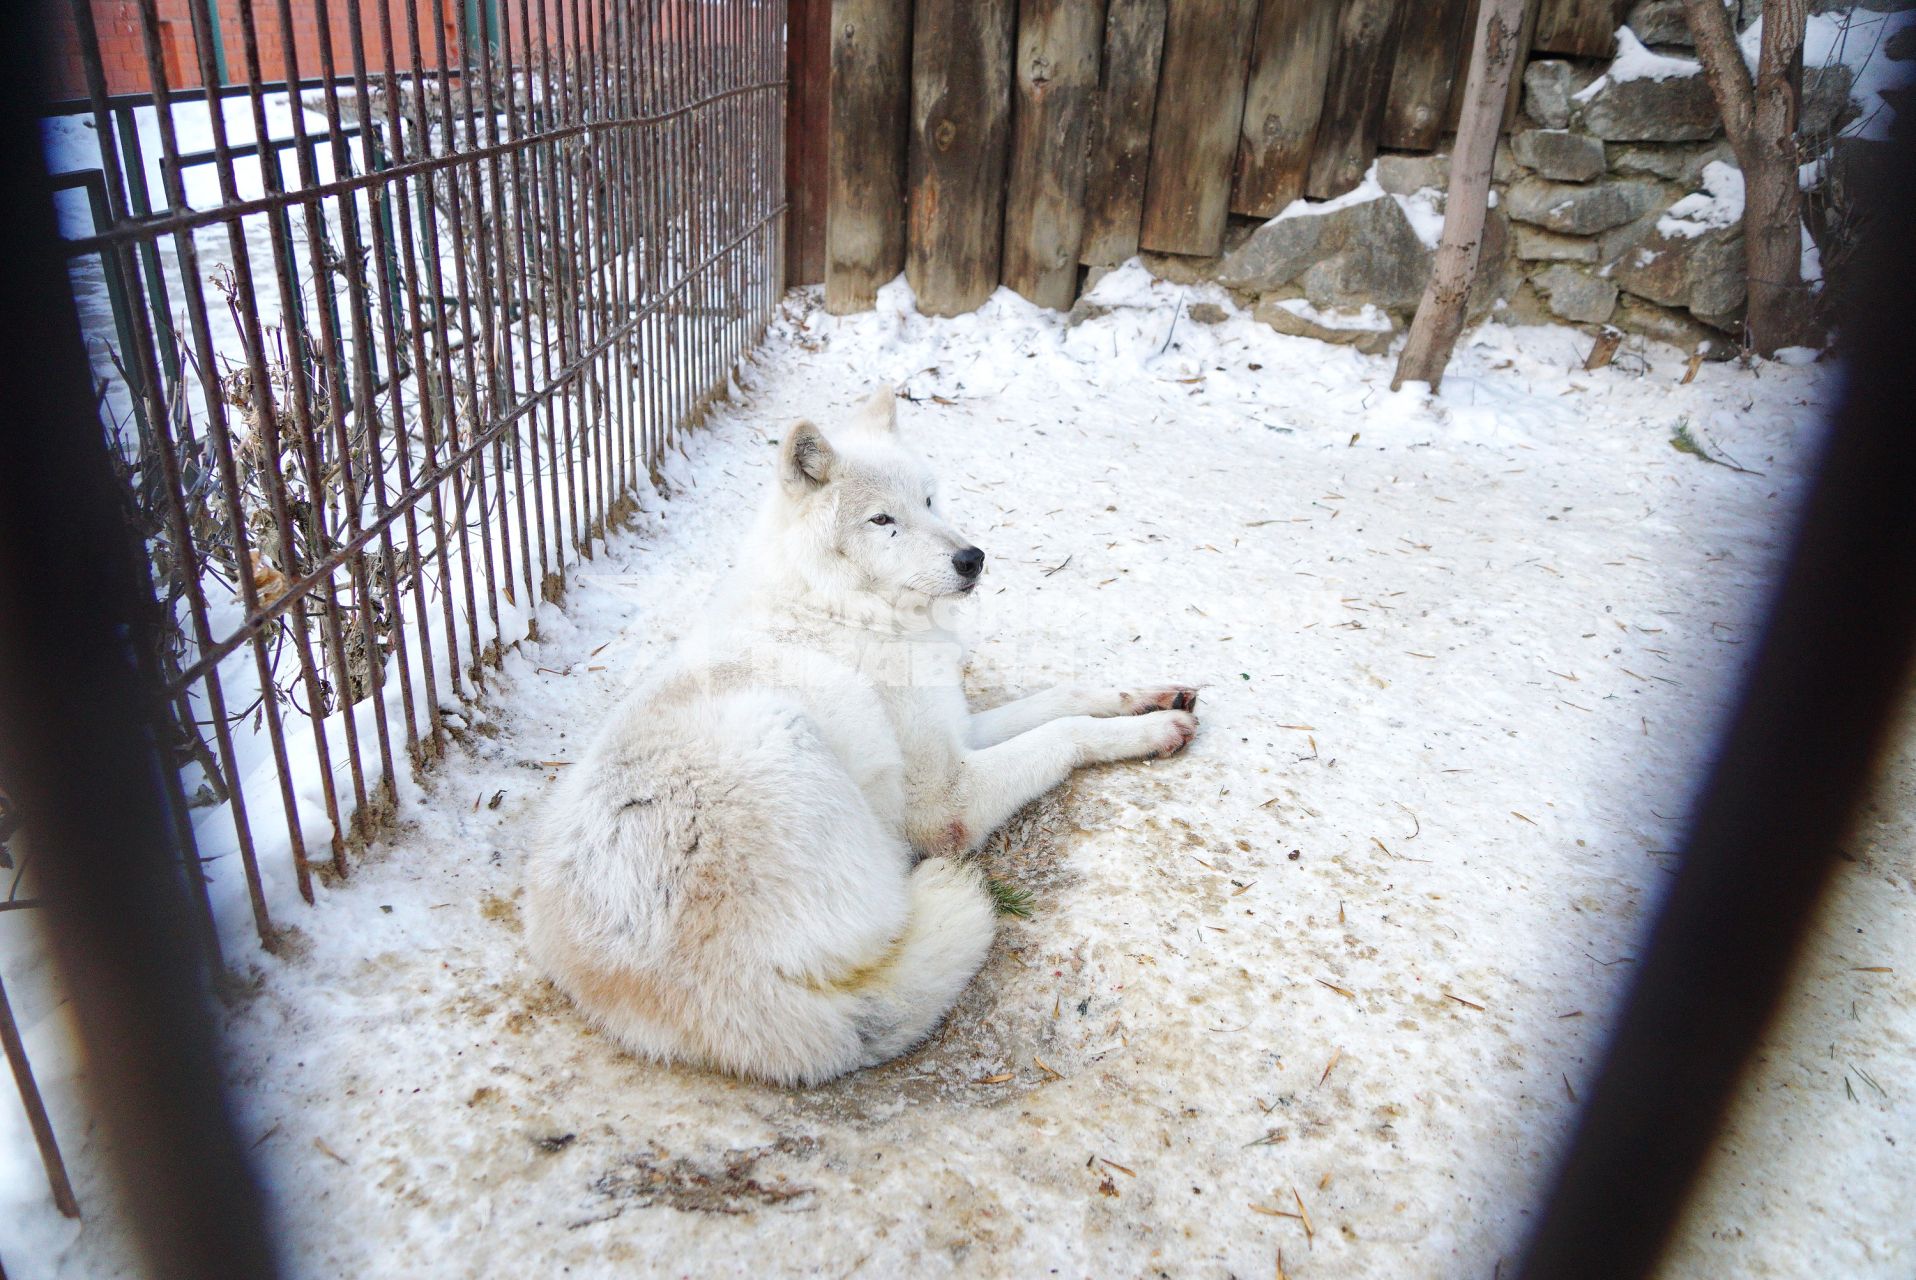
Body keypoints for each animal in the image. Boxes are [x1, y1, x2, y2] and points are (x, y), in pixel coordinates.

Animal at [524, 387, 1195, 1080]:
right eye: (881, 520)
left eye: (929, 500)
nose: (973, 558)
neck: (840, 609)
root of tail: (721, 996)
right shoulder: (947, 795)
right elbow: (1064, 734)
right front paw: (1157, 729)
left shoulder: (958, 729)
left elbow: (1065, 697)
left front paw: (1146, 696)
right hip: (794, 733)